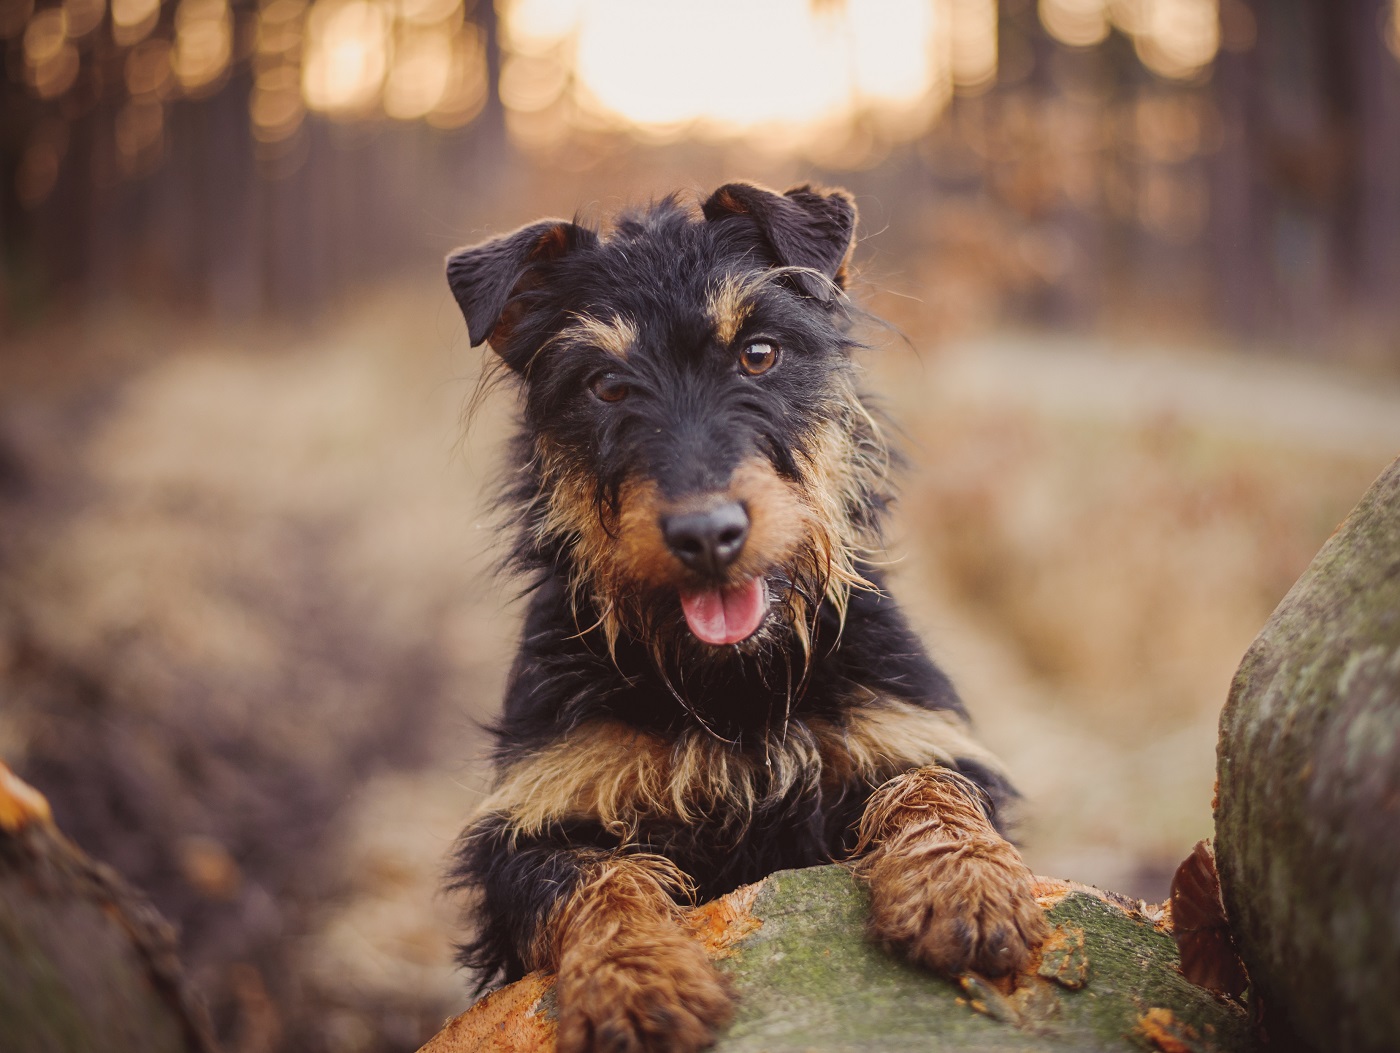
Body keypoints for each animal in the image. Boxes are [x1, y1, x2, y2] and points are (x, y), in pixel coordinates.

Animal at [442, 184, 1047, 1053]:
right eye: (606, 386)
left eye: (759, 354)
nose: (707, 534)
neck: (733, 685)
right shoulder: (526, 826)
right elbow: (594, 875)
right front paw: (638, 978)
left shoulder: (915, 730)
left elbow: (933, 782)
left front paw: (964, 884)